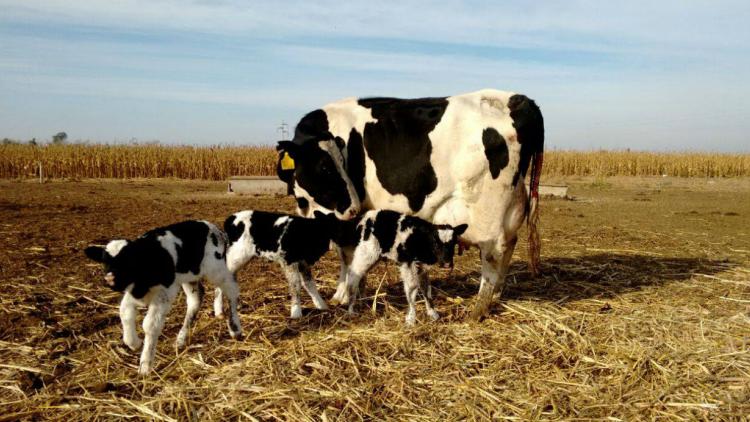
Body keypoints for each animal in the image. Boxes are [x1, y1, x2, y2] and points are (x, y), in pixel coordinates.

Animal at [222, 209, 354, 318]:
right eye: (337, 226)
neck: (310, 232)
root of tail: (231, 218)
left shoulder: (303, 262)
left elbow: (309, 283)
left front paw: (321, 306)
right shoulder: (289, 261)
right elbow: (295, 285)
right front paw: (296, 312)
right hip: (237, 254)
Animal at [274, 90, 544, 320]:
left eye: (339, 163)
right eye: (324, 166)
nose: (351, 206)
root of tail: (517, 98)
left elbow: (345, 253)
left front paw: (342, 294)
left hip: (488, 210)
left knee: (493, 253)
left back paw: (479, 308)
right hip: (512, 205)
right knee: (510, 244)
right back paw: (496, 294)